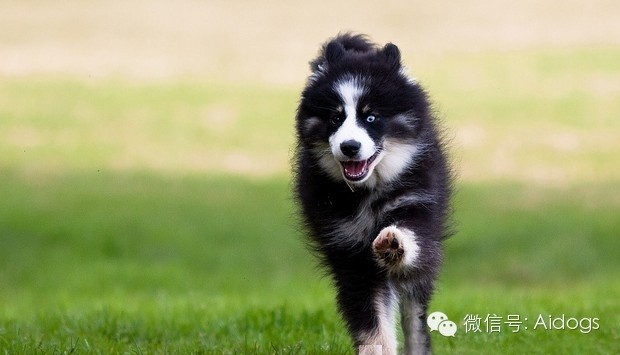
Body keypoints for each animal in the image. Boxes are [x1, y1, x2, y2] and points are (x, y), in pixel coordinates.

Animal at [294, 34, 452, 355]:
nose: (350, 147)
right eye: (335, 118)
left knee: (415, 310)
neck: (367, 191)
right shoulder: (349, 250)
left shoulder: (418, 203)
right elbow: (371, 319)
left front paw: (394, 243)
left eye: (370, 117)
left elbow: (412, 240)